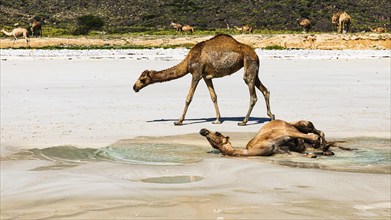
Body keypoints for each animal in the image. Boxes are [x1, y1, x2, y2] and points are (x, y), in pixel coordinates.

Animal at [135, 32, 276, 125]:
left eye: (142, 79)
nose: (134, 87)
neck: (188, 62)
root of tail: (256, 54)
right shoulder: (206, 76)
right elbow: (213, 96)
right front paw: (217, 120)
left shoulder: (196, 73)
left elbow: (188, 97)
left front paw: (179, 121)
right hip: (254, 68)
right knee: (265, 90)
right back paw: (271, 116)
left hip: (249, 63)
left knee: (252, 93)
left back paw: (244, 121)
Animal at [201, 118, 336, 156]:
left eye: (218, 133)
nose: (203, 130)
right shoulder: (283, 150)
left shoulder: (284, 133)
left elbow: (312, 138)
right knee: (317, 132)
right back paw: (325, 148)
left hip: (296, 126)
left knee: (314, 131)